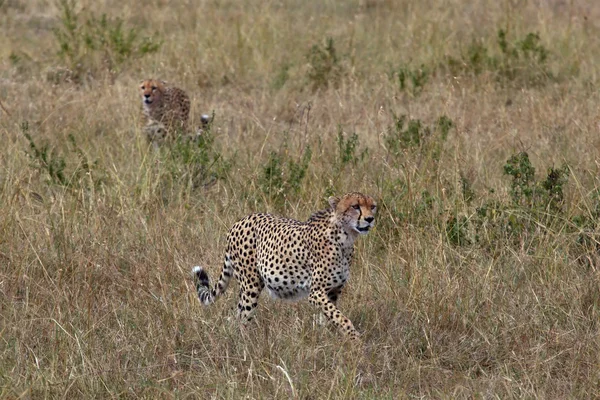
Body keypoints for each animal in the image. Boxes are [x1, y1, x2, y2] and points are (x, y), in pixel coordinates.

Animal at [192, 192, 378, 340]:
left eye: (372, 206)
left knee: (235, 315)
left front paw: (323, 336)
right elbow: (340, 317)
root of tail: (240, 221)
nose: (370, 219)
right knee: (243, 317)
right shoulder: (316, 292)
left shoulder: (333, 291)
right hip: (251, 285)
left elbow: (329, 317)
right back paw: (245, 345)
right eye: (355, 206)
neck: (345, 237)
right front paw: (354, 338)